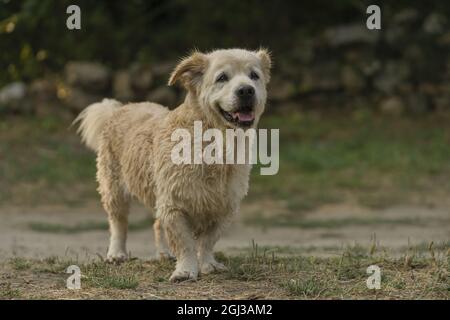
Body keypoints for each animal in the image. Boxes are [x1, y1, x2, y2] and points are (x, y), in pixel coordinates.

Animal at [74, 48, 270, 282]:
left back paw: (164, 253)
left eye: (254, 76)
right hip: (113, 187)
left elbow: (208, 241)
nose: (246, 90)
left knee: (157, 224)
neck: (214, 144)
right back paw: (116, 253)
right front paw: (185, 270)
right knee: (118, 222)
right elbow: (185, 243)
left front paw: (208, 264)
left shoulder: (224, 207)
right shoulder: (174, 205)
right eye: (222, 77)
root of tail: (120, 108)